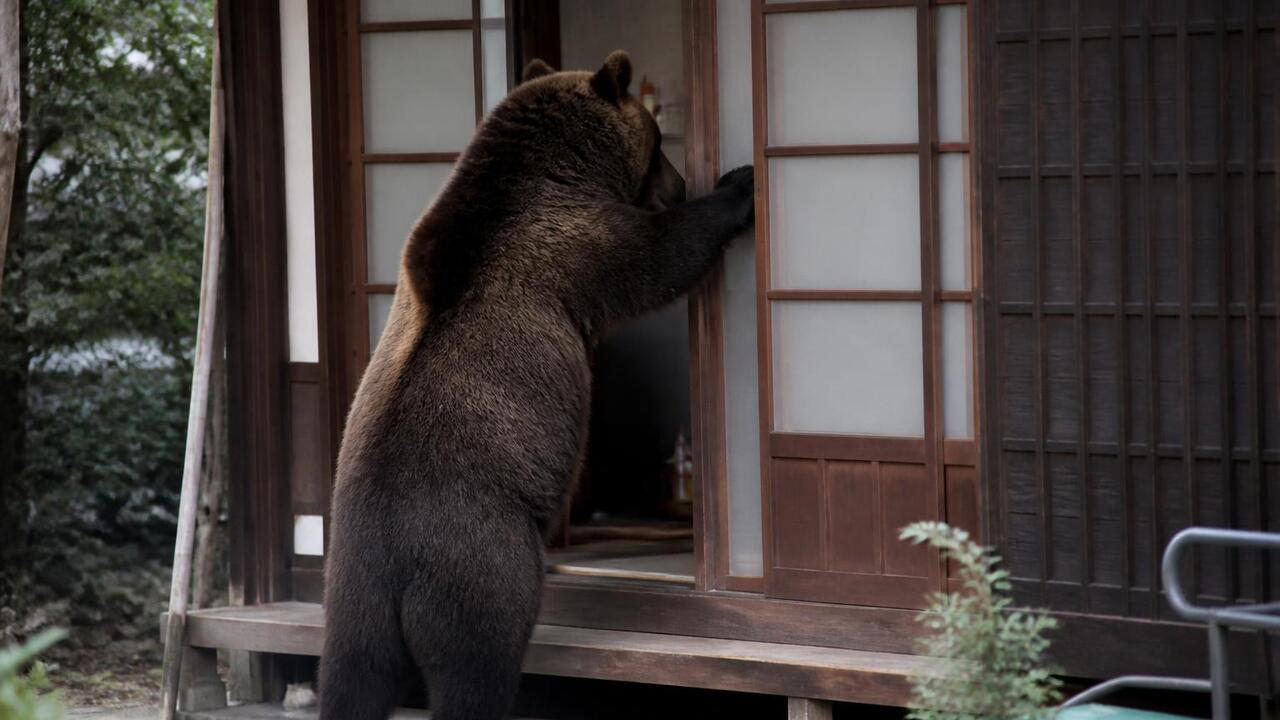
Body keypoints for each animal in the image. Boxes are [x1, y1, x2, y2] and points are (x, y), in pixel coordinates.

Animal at [318, 50, 755, 720]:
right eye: (658, 141)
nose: (680, 183)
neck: (554, 168)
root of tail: (387, 562)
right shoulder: (576, 244)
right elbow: (660, 257)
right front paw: (736, 187)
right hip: (479, 565)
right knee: (478, 665)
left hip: (348, 600)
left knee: (351, 679)